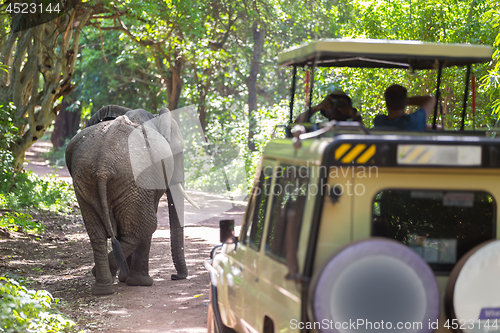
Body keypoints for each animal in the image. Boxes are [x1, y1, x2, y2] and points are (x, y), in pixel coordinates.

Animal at [64, 105, 193, 294]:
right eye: (177, 153)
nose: (175, 277)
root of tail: (102, 165)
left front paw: (125, 280)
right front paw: (138, 282)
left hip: (84, 181)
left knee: (98, 233)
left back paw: (103, 289)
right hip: (130, 179)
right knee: (143, 228)